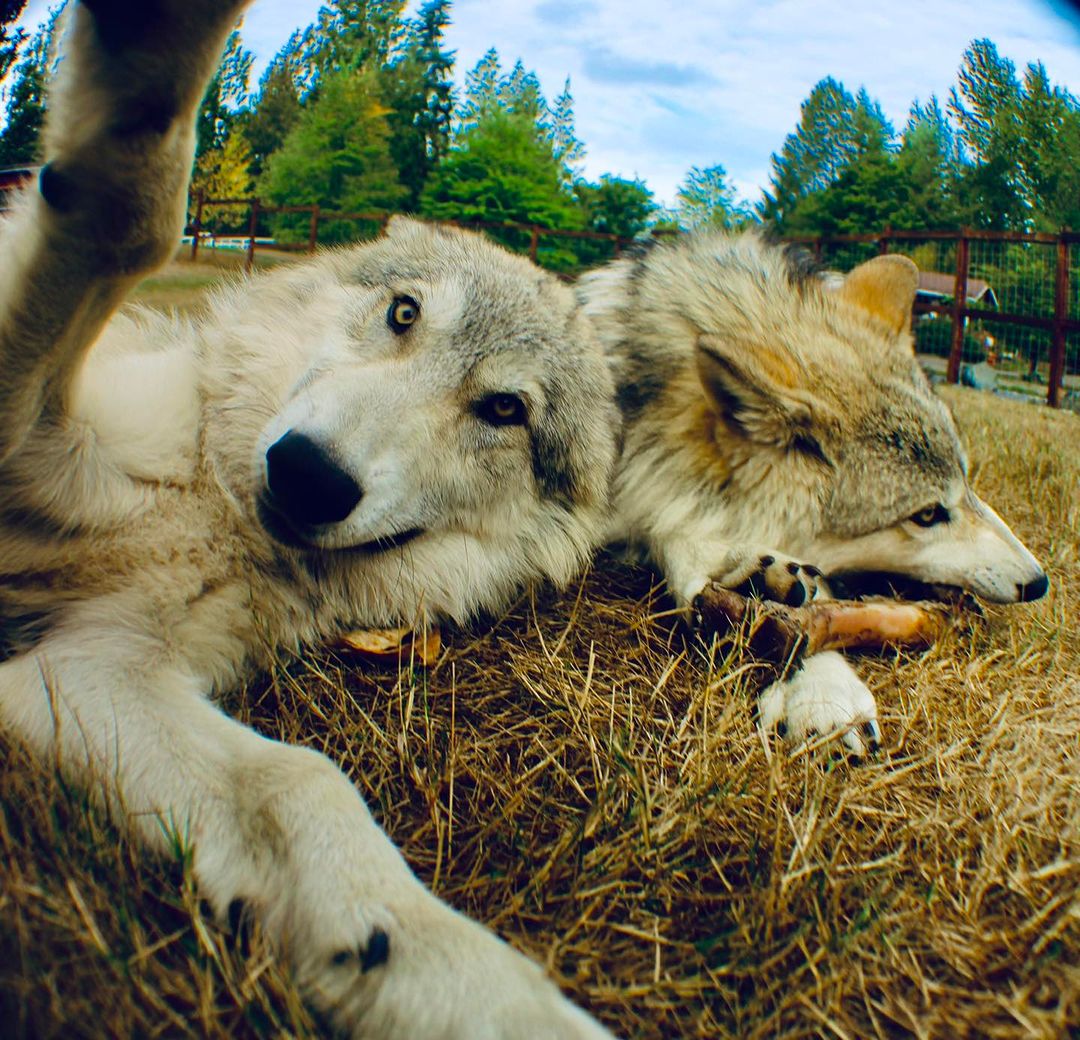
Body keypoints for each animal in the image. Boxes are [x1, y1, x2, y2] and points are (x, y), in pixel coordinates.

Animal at [0, 4, 617, 1036]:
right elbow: (130, 219)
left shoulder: (80, 670)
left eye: (504, 409)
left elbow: (300, 786)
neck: (210, 507)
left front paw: (474, 995)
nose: (306, 475)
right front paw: (150, 61)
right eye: (403, 314)